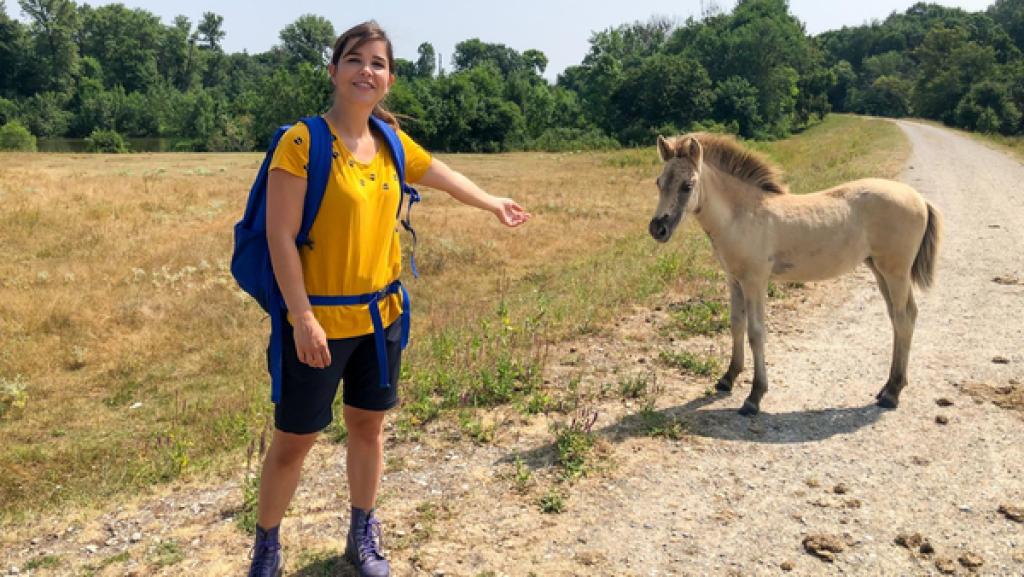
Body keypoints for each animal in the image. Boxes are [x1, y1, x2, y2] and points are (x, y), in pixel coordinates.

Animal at [649, 133, 941, 416]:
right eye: (659, 182)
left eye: (687, 186)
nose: (657, 229)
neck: (742, 214)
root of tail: (919, 198)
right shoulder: (734, 280)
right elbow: (736, 324)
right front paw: (727, 378)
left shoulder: (755, 281)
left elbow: (756, 332)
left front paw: (754, 397)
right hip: (880, 270)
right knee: (900, 316)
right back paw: (888, 387)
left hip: (896, 272)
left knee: (903, 319)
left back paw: (892, 393)